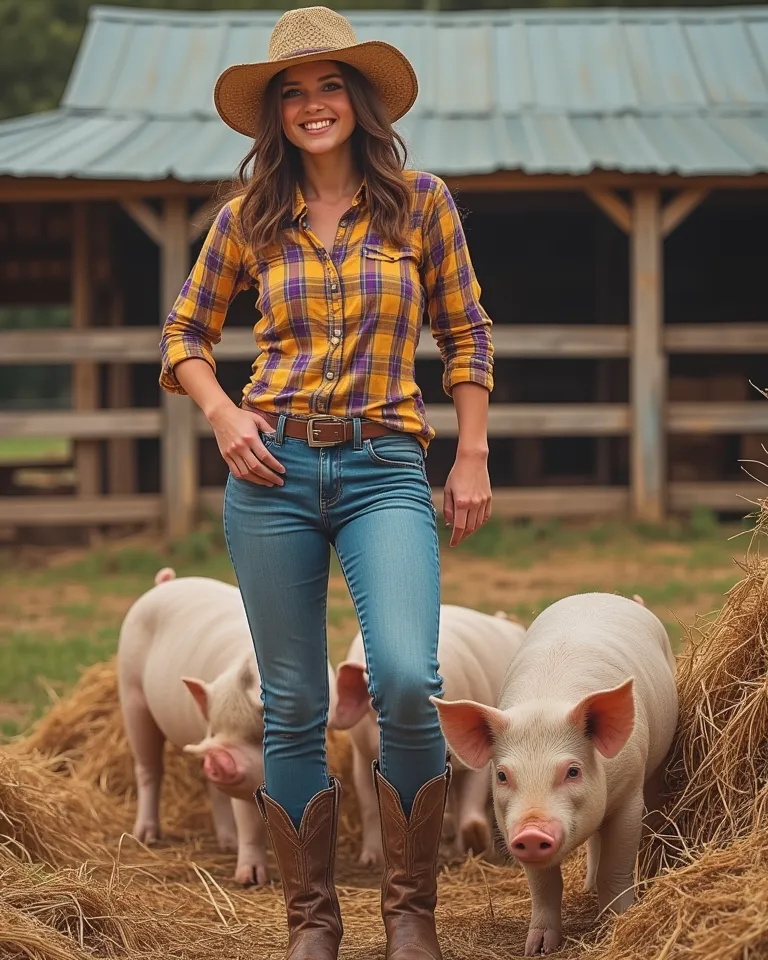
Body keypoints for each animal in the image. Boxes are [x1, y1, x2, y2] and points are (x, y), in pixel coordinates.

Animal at [117, 568, 340, 888]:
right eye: (214, 730)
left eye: (258, 735)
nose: (215, 757)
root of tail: (164, 584)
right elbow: (248, 819)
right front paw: (251, 879)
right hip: (131, 694)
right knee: (149, 768)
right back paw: (146, 837)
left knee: (214, 793)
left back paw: (228, 843)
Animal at [432, 588, 680, 956]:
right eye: (503, 775)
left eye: (572, 771)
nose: (532, 831)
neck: (546, 702)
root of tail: (601, 594)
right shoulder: (510, 826)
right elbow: (545, 886)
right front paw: (537, 949)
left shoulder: (628, 796)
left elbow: (615, 869)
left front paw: (613, 927)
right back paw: (588, 887)